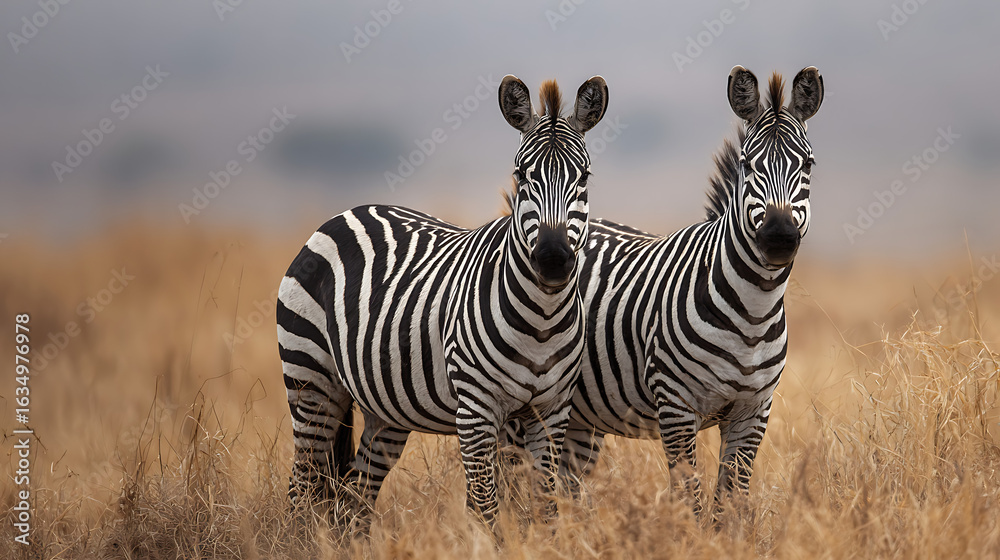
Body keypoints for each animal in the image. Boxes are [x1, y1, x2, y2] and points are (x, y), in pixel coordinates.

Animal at [276, 75, 609, 528]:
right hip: (310, 381)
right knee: (301, 488)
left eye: (585, 177)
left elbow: (545, 508)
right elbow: (485, 507)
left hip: (385, 408)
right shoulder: (476, 411)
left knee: (355, 499)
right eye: (521, 175)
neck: (542, 319)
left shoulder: (552, 412)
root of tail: (346, 213)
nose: (553, 259)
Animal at [508, 66, 824, 517]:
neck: (753, 308)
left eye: (808, 164)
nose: (779, 237)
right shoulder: (676, 406)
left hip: (582, 417)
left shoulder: (754, 412)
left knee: (566, 484)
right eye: (747, 164)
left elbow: (729, 505)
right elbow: (689, 499)